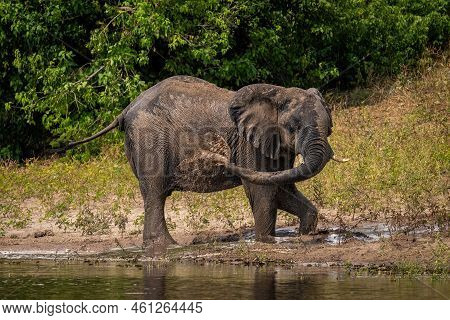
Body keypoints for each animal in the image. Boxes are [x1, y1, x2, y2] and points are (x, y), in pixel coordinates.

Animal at [61, 76, 346, 249]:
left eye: (329, 128)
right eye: (293, 127)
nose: (216, 154)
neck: (278, 93)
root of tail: (127, 108)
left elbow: (282, 187)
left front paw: (306, 233)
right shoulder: (249, 143)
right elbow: (263, 190)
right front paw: (267, 242)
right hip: (149, 138)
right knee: (155, 192)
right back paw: (166, 247)